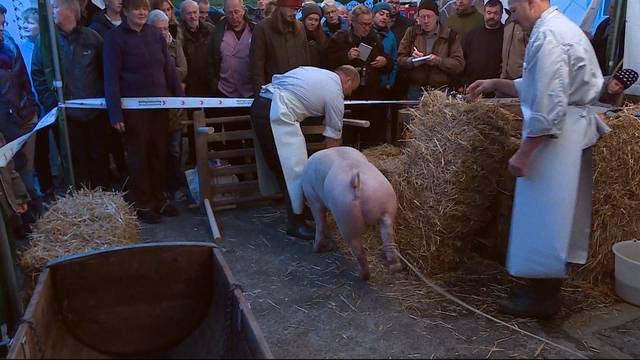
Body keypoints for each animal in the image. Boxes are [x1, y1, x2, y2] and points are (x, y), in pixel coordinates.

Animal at [302, 145, 402, 280]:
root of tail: (355, 184)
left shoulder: (313, 199)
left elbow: (320, 224)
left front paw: (316, 249)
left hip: (345, 216)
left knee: (358, 250)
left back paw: (362, 275)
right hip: (387, 206)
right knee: (389, 238)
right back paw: (395, 267)